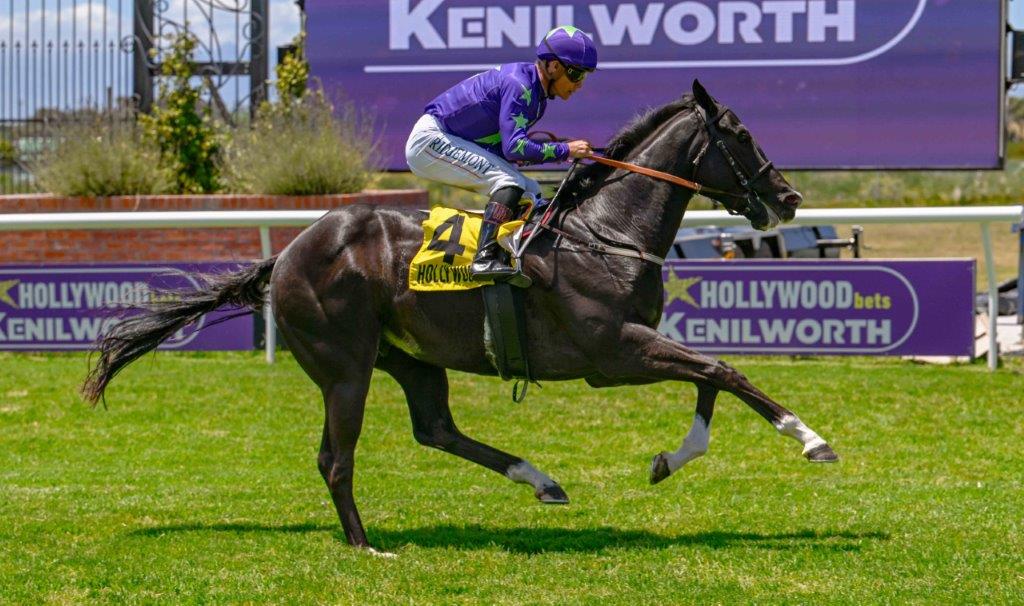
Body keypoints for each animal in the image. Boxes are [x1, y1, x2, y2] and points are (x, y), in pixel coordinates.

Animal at [83, 79, 835, 548]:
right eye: (740, 133)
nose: (790, 198)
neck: (607, 231)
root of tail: (289, 252)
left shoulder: (636, 342)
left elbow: (710, 376)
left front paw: (667, 462)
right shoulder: (613, 352)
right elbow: (724, 370)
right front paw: (810, 438)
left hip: (411, 359)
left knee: (435, 427)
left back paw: (541, 480)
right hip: (345, 367)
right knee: (336, 457)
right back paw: (365, 545)